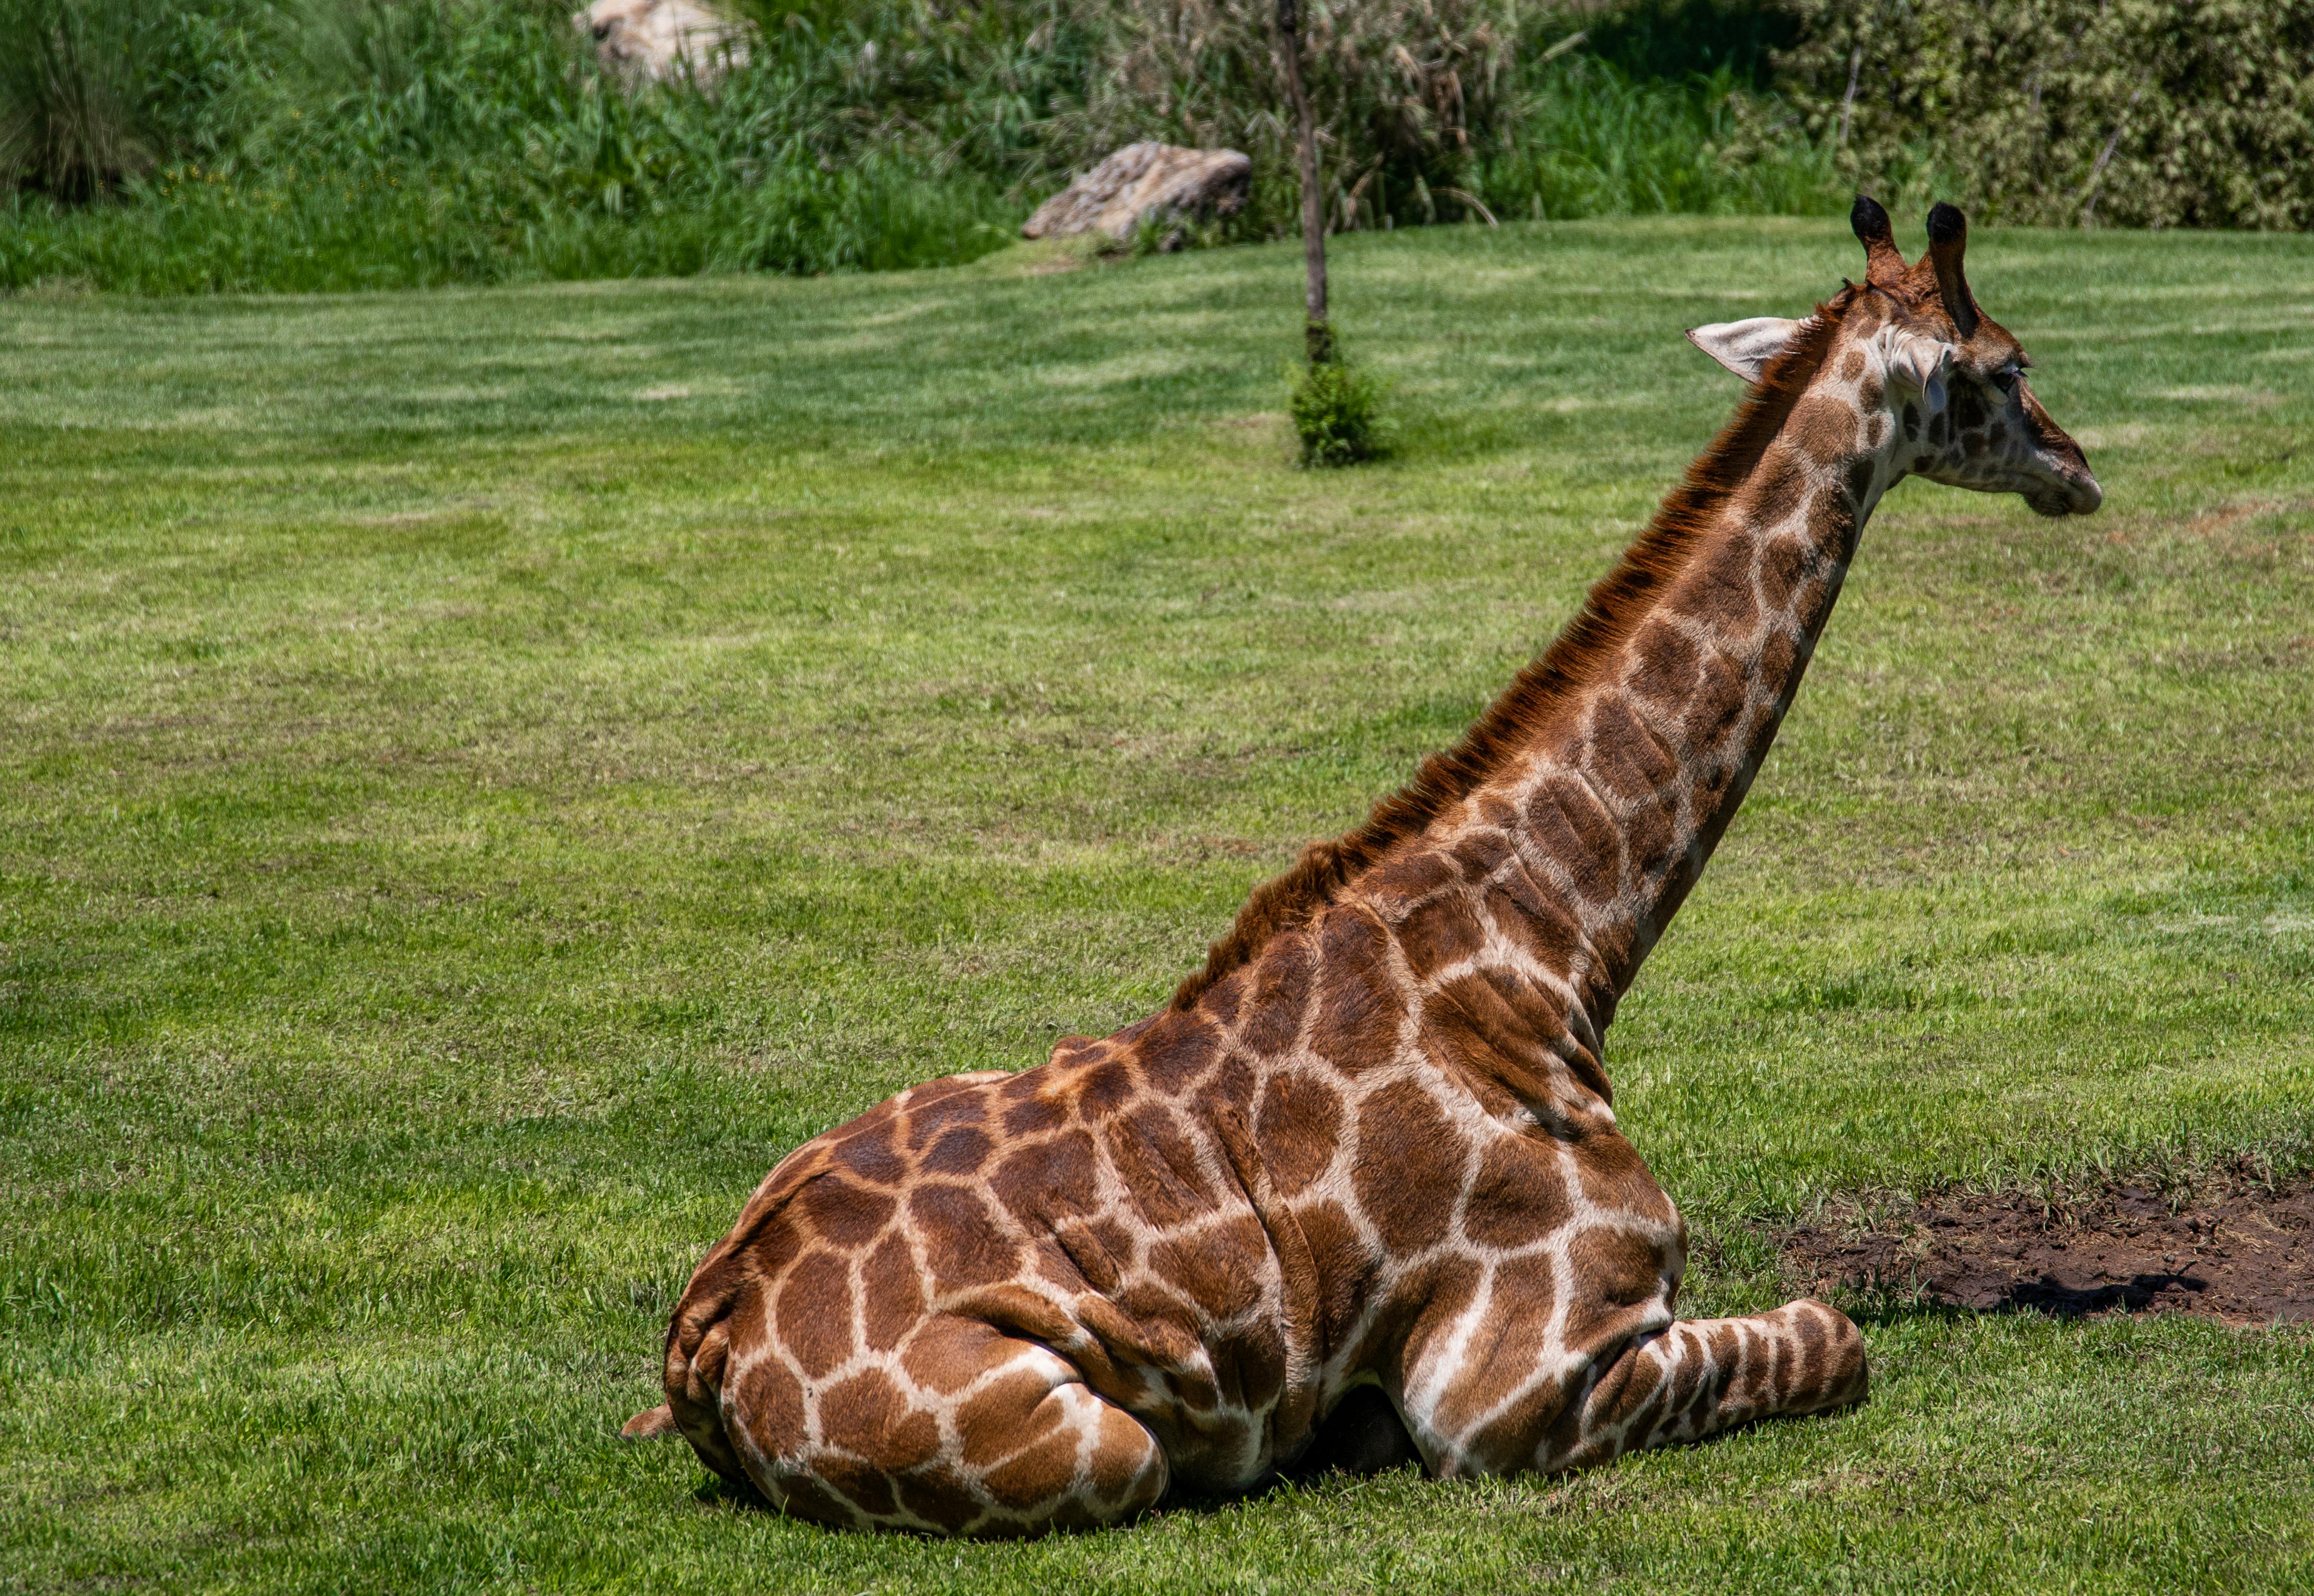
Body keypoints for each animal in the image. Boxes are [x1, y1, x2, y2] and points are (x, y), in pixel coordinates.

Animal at [624, 198, 2110, 1526]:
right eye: (2008, 366)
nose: (2081, 465)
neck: (1551, 943)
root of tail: (706, 1342)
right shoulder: (1516, 1379)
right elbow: (1838, 1332)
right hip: (1091, 1444)